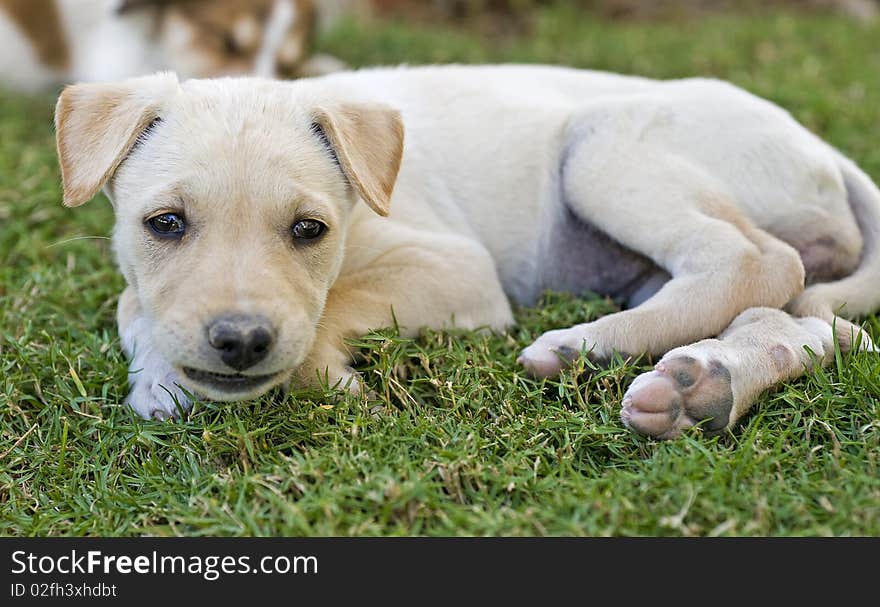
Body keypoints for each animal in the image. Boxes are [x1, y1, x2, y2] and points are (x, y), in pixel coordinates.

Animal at [53, 65, 880, 436]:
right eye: (165, 224)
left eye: (309, 230)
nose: (242, 340)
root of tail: (824, 152)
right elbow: (131, 301)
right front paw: (159, 374)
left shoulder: (458, 269)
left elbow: (336, 304)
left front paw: (334, 380)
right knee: (799, 314)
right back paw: (697, 382)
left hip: (605, 147)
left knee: (757, 261)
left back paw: (583, 344)